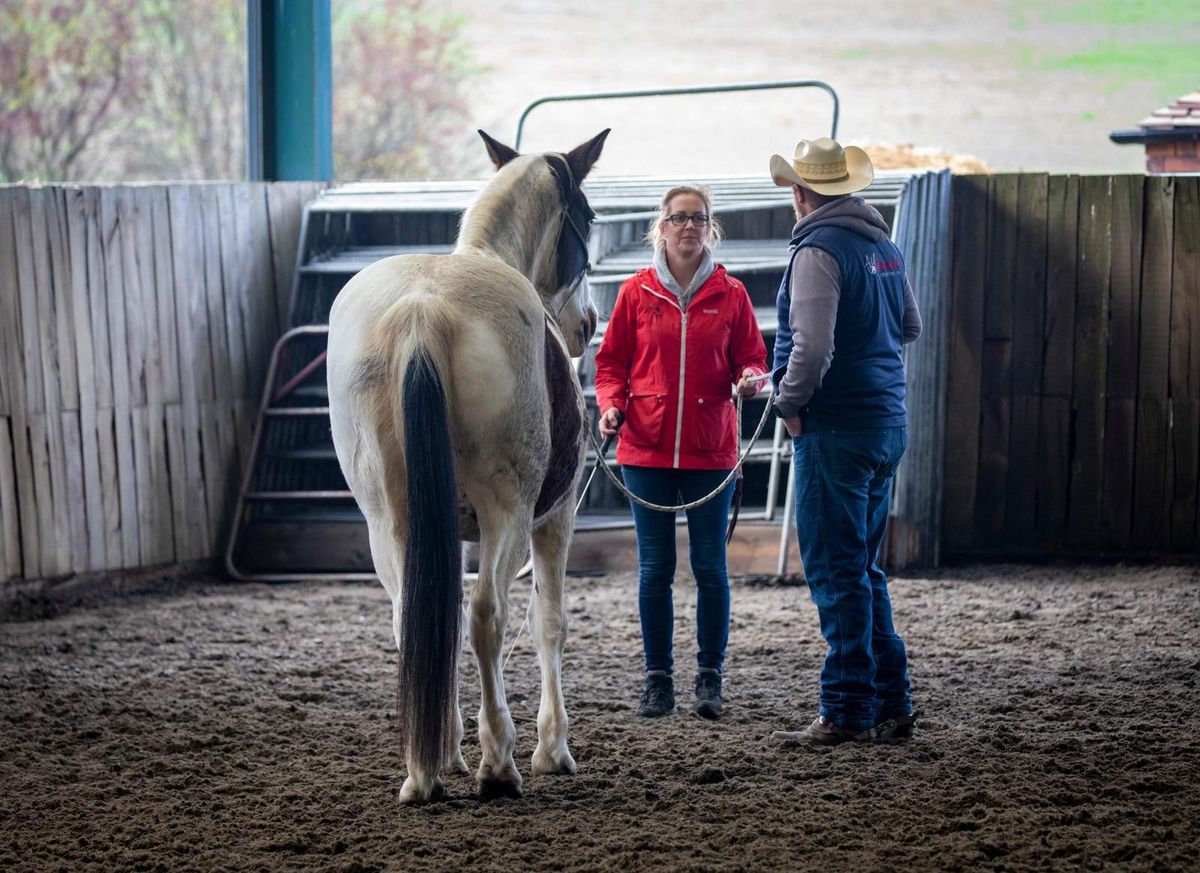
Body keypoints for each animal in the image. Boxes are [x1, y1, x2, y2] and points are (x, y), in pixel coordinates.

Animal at [326, 125, 609, 801]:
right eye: (588, 217)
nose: (587, 322)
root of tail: (423, 310)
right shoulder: (554, 519)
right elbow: (548, 621)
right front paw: (552, 750)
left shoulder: (446, 530)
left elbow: (440, 617)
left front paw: (450, 750)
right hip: (509, 512)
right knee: (488, 617)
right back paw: (499, 764)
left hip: (389, 520)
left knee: (416, 618)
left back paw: (425, 771)